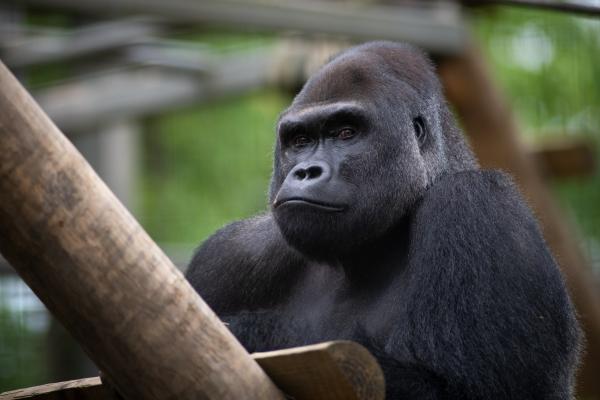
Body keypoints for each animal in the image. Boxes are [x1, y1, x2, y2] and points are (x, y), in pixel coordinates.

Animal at [188, 42, 580, 398]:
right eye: (300, 140)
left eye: (346, 133)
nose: (305, 171)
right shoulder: (230, 253)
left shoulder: (479, 205)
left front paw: (254, 333)